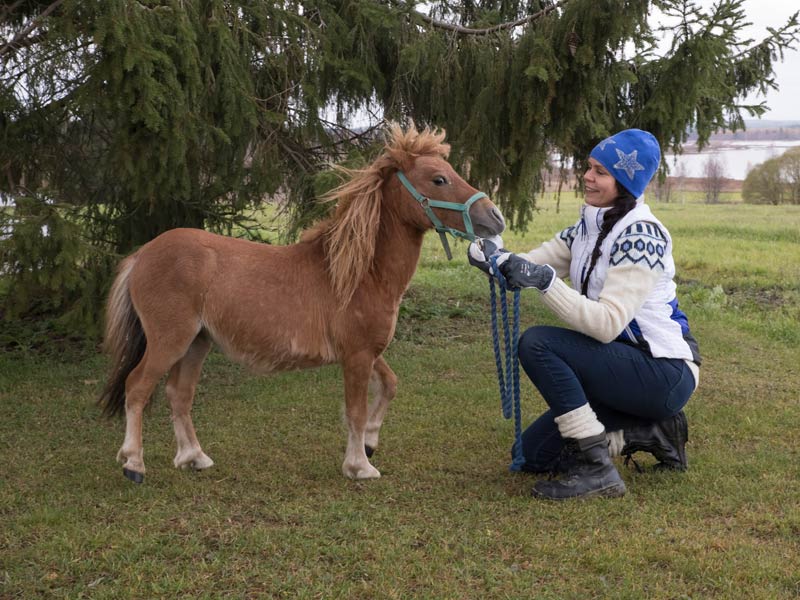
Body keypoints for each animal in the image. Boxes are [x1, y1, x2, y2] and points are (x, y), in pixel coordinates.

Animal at [97, 123, 504, 482]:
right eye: (438, 179)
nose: (495, 218)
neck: (359, 273)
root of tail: (142, 254)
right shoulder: (357, 356)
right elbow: (355, 411)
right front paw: (359, 466)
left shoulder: (367, 352)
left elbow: (389, 385)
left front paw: (370, 444)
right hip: (169, 340)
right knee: (137, 387)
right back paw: (134, 463)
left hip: (197, 343)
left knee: (178, 395)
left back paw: (193, 457)